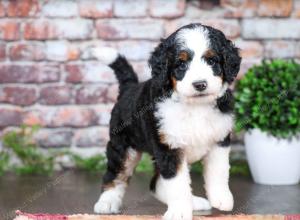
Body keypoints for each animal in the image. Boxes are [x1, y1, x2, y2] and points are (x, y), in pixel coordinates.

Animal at [92, 23, 240, 219]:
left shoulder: (219, 140)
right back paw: (107, 202)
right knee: (116, 174)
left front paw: (222, 198)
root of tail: (129, 87)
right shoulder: (169, 148)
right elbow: (177, 183)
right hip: (123, 147)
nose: (200, 84)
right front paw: (179, 211)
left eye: (211, 61)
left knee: (156, 183)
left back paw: (194, 202)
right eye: (181, 64)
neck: (195, 106)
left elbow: (219, 171)